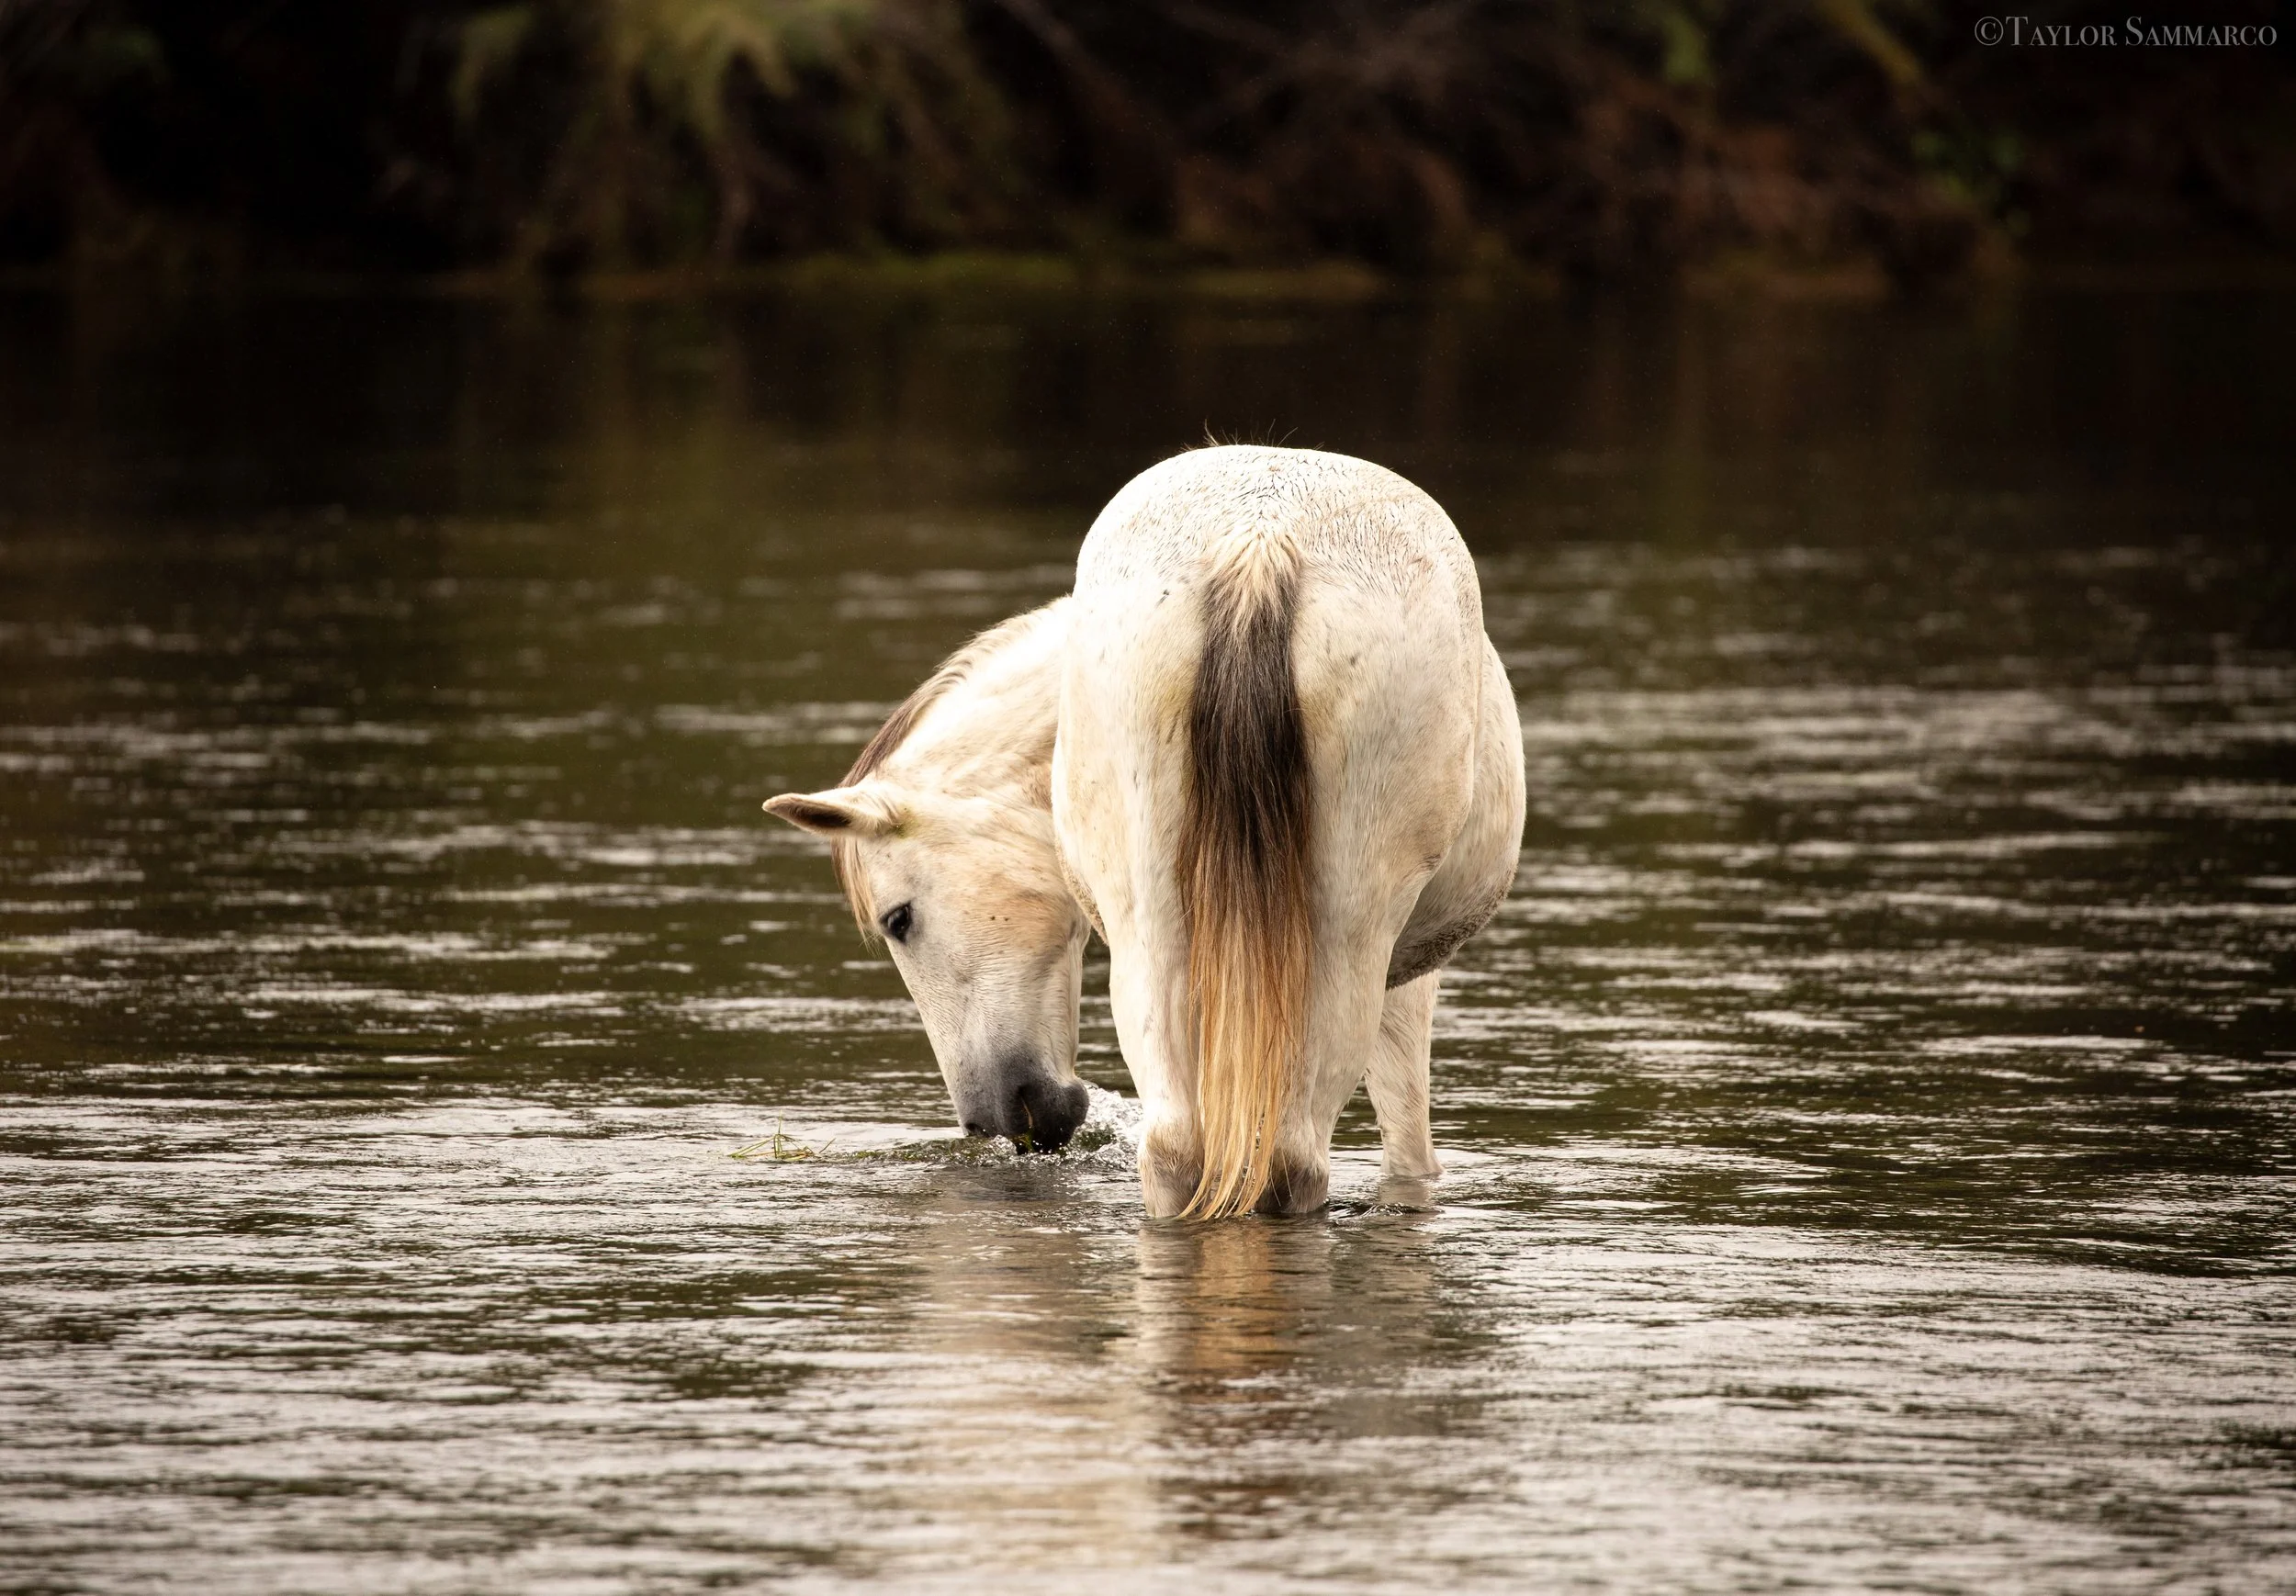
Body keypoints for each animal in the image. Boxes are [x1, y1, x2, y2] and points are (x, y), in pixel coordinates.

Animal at [766, 446, 1525, 1218]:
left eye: (899, 919)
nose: (995, 1119)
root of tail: (1259, 542)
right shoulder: (1404, 986)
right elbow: (1410, 1160)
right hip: (1341, 943)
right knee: (1286, 1160)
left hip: (1153, 928)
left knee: (1180, 1150)